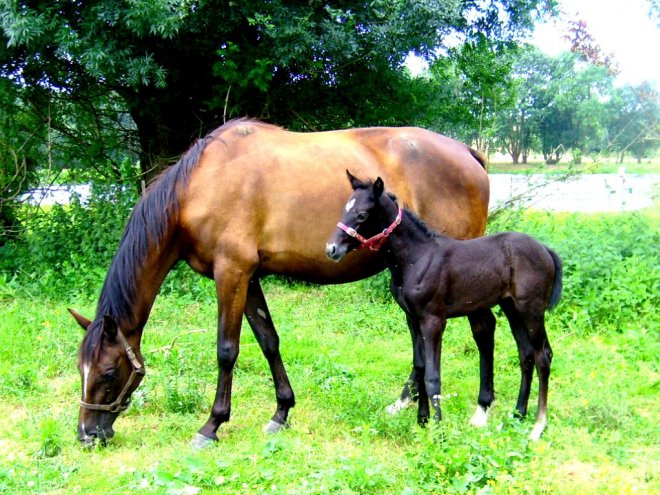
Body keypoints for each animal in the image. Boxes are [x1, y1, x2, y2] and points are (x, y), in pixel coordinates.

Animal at [69, 120, 490, 450]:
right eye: (80, 369)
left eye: (109, 373)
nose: (87, 434)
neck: (201, 184)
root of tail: (469, 153)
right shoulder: (249, 277)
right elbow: (268, 340)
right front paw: (281, 411)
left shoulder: (231, 273)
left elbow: (227, 351)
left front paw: (212, 425)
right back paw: (407, 403)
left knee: (480, 329)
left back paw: (477, 409)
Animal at [324, 173, 564, 442]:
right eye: (345, 208)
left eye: (362, 215)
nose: (331, 249)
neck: (415, 257)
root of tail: (546, 250)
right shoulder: (412, 318)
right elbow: (419, 366)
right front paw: (422, 420)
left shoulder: (434, 320)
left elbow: (432, 375)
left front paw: (437, 429)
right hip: (512, 308)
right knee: (526, 354)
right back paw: (517, 415)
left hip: (531, 309)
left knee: (543, 356)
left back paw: (537, 426)